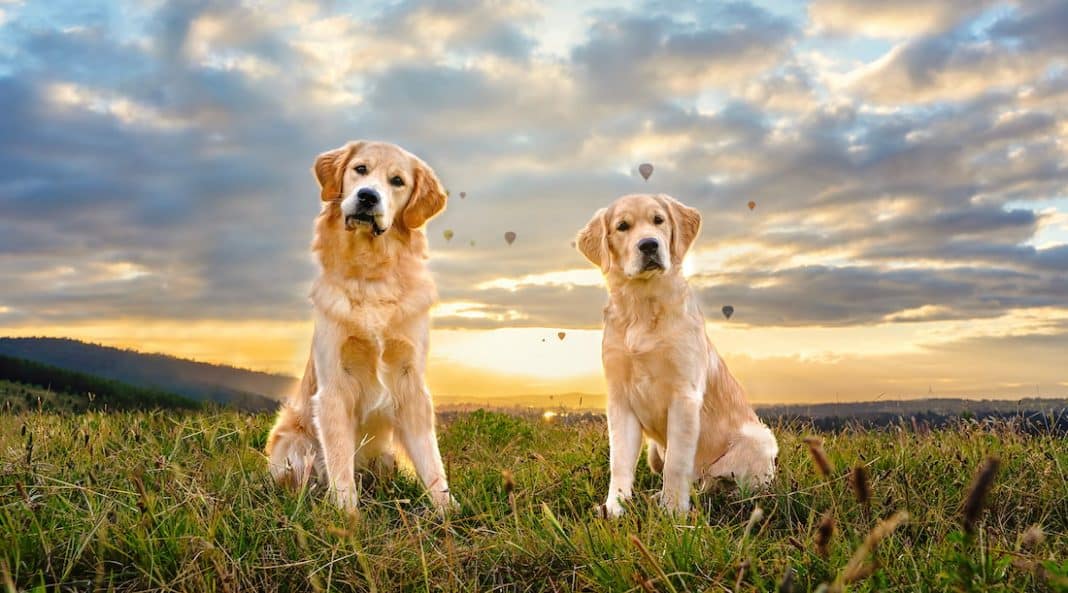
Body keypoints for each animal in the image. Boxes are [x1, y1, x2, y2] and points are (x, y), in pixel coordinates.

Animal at [267, 141, 454, 512]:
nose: (368, 196)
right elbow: (339, 463)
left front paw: (450, 510)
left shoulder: (410, 381)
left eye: (397, 181)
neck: (371, 276)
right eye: (360, 169)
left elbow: (431, 460)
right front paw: (347, 516)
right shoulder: (334, 387)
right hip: (294, 446)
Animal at [576, 193, 777, 515]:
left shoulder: (684, 396)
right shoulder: (620, 399)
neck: (643, 305)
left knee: (719, 485)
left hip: (758, 439)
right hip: (653, 451)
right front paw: (614, 509)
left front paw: (672, 513)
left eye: (659, 220)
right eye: (622, 226)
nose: (649, 245)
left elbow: (677, 463)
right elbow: (619, 461)